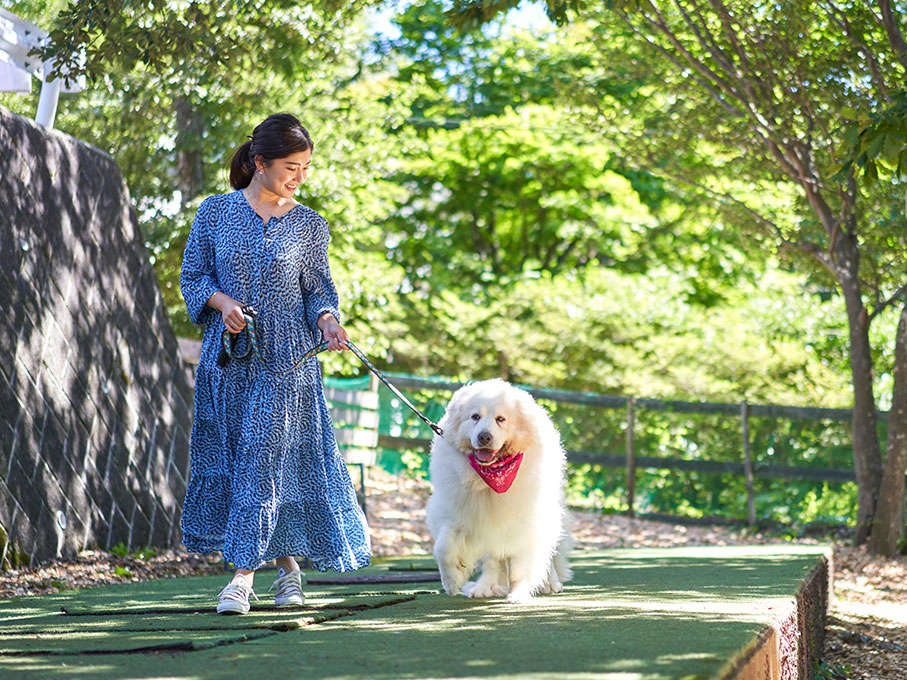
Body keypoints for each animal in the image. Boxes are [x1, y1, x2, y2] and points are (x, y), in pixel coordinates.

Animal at [424, 380, 568, 604]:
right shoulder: (458, 513)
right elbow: (443, 548)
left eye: (501, 419)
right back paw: (485, 587)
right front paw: (453, 581)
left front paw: (518, 594)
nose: (484, 436)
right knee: (493, 562)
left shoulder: (525, 523)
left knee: (548, 552)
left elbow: (521, 566)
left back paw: (550, 583)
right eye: (475, 417)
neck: (490, 478)